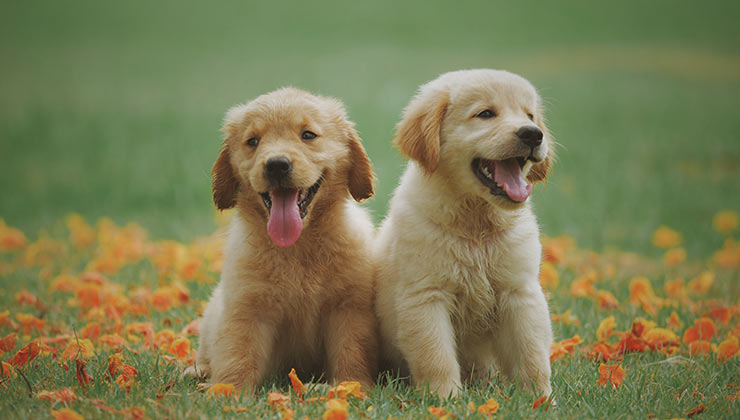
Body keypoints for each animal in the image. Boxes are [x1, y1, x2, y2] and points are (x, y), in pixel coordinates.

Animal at [376, 69, 556, 398]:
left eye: (530, 115)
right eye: (485, 114)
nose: (533, 134)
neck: (476, 224)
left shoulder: (520, 292)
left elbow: (532, 353)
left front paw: (540, 399)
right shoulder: (426, 296)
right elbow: (436, 355)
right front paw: (444, 399)